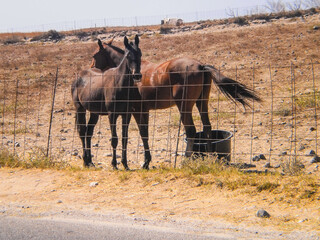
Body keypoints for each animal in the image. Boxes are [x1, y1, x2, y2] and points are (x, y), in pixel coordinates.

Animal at [72, 35, 142, 170]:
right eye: (128, 55)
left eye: (140, 54)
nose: (137, 75)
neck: (120, 84)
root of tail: (78, 76)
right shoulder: (112, 114)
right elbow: (114, 139)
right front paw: (114, 164)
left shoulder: (127, 115)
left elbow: (124, 138)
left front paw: (125, 164)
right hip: (80, 109)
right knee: (82, 132)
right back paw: (85, 161)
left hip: (94, 113)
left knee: (88, 133)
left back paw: (90, 161)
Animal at [89, 37, 260, 169]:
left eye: (95, 54)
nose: (91, 68)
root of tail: (200, 66)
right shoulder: (144, 110)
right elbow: (145, 134)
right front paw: (147, 161)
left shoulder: (135, 110)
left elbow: (142, 133)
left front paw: (145, 162)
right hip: (201, 103)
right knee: (207, 127)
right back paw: (210, 157)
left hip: (184, 107)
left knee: (191, 131)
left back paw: (186, 160)